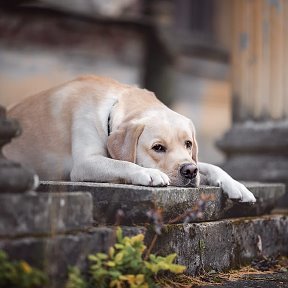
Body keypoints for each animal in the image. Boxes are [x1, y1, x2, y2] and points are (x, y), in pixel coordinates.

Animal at [3, 76, 256, 202]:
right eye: (158, 147)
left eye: (188, 144)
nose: (189, 171)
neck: (113, 102)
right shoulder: (84, 163)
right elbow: (122, 162)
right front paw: (149, 173)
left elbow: (212, 166)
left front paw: (236, 184)